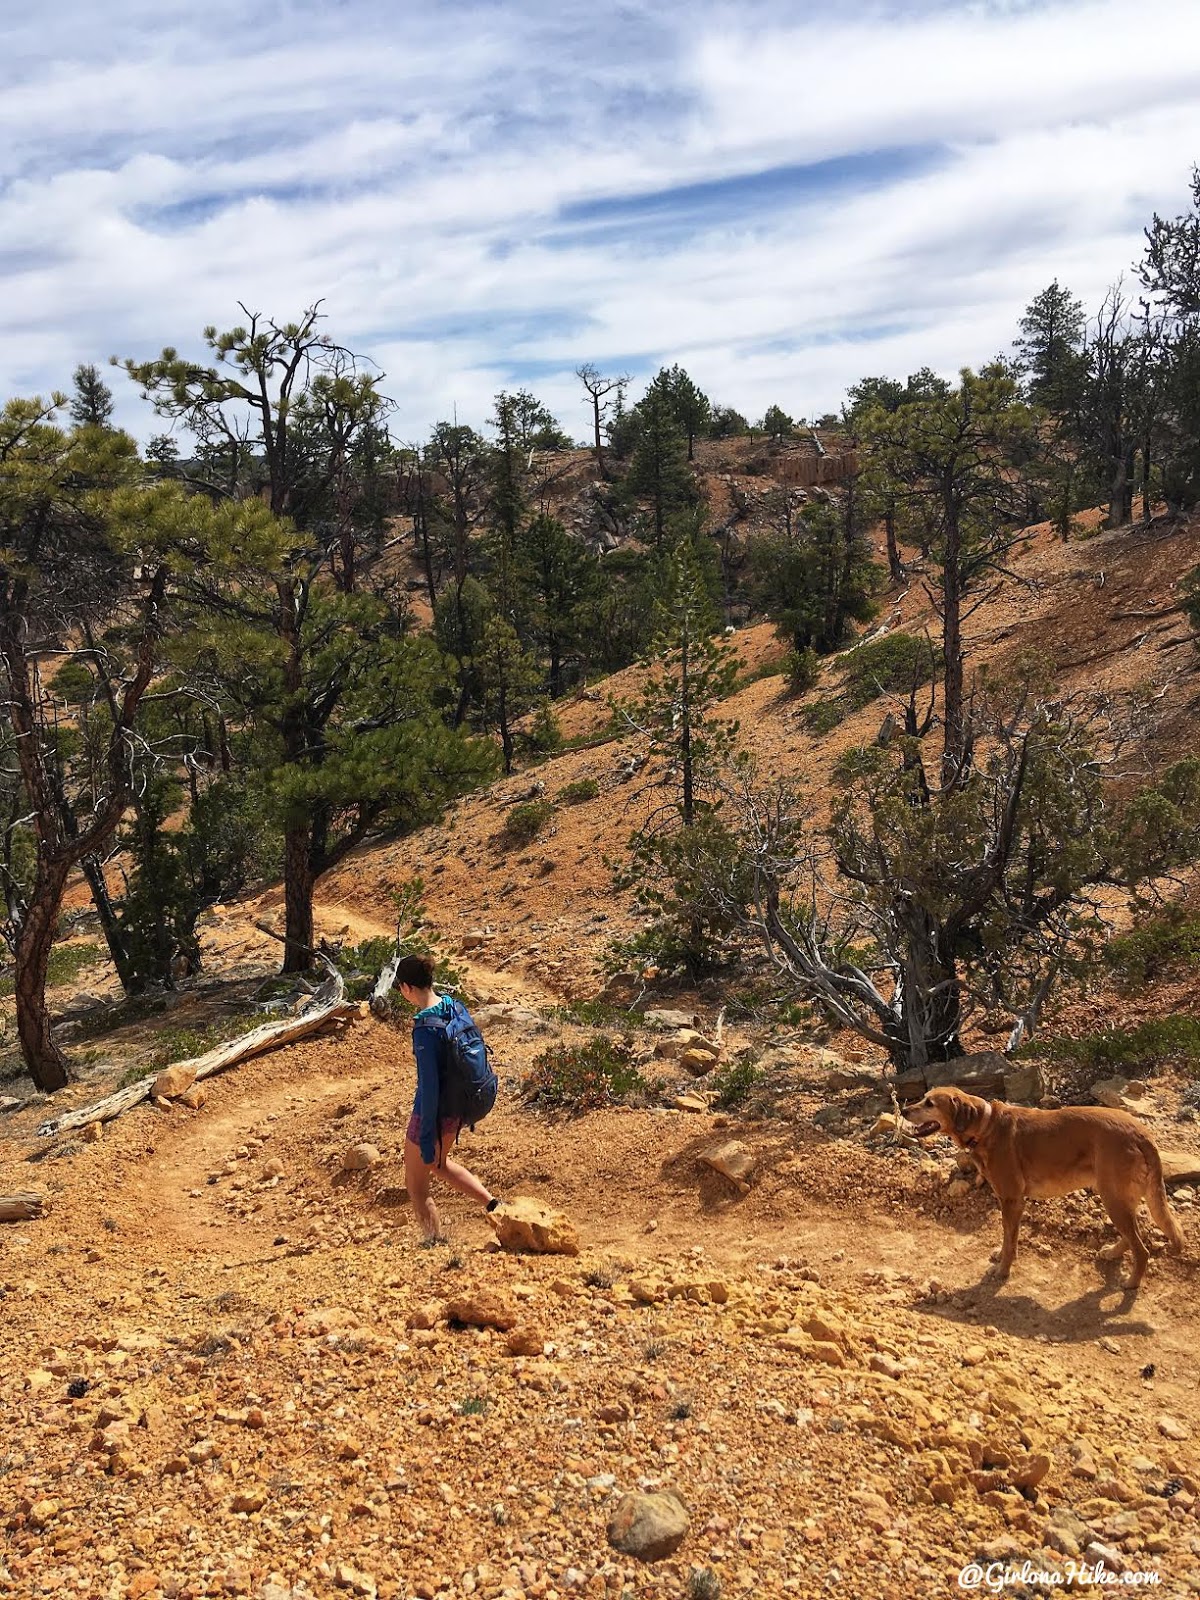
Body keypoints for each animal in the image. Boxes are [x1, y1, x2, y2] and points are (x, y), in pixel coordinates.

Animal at [908, 1081, 1184, 1292]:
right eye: (923, 1099)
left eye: (929, 1103)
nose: (904, 1109)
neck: (985, 1126)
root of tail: (1142, 1133)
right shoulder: (1009, 1201)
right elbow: (1007, 1237)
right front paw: (1001, 1256)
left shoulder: (1012, 1201)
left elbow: (1010, 1239)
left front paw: (1003, 1269)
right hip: (1119, 1197)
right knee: (1135, 1236)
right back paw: (1114, 1252)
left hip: (1113, 1198)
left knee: (1142, 1249)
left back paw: (1131, 1283)